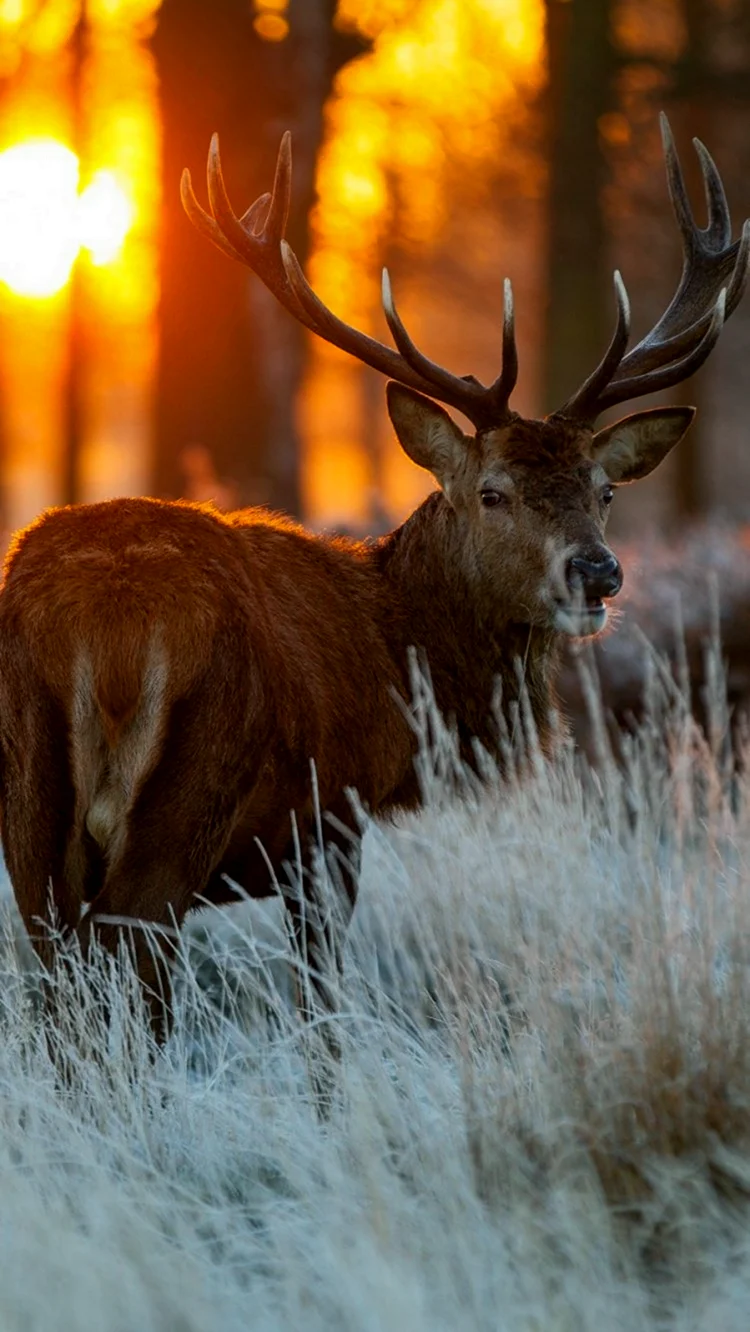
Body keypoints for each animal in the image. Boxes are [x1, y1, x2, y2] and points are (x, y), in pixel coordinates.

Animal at [0, 114, 746, 1033]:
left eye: (604, 490)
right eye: (493, 492)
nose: (598, 573)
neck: (399, 655)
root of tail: (104, 619)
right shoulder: (331, 823)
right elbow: (321, 1007)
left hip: (29, 805)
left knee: (56, 988)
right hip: (188, 794)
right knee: (137, 974)